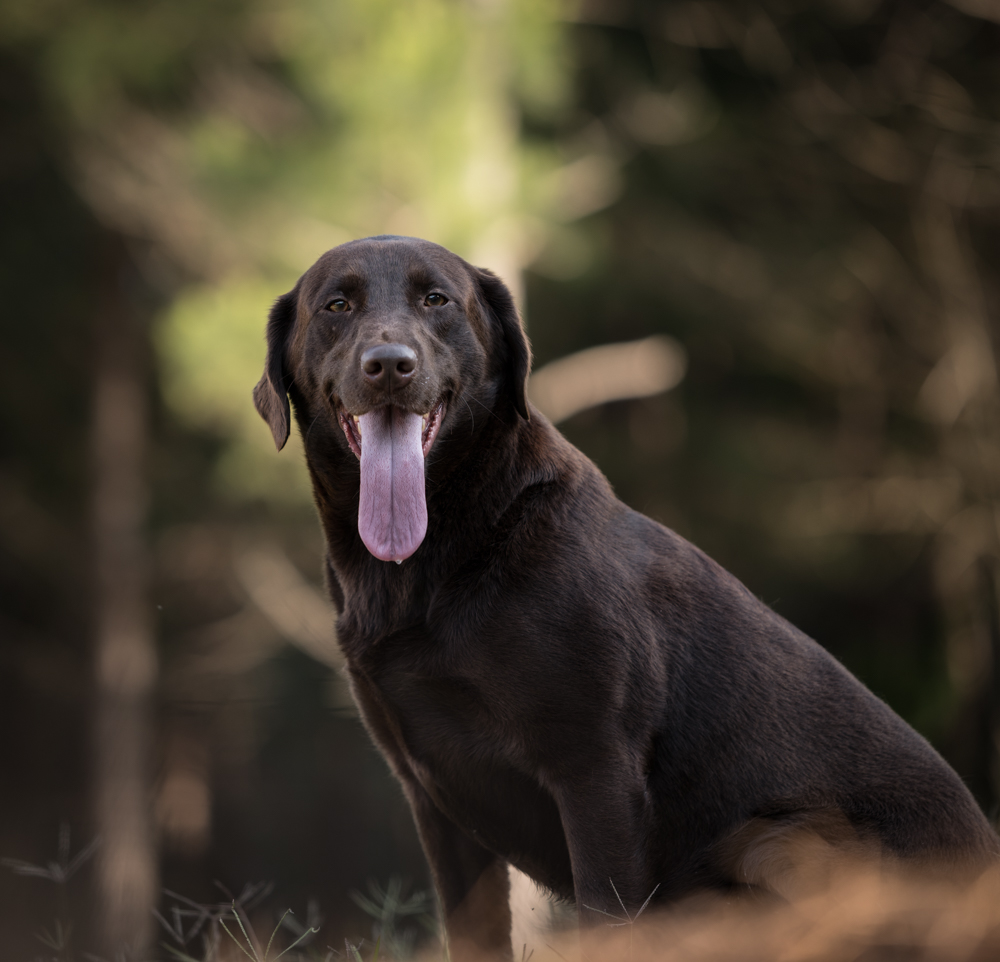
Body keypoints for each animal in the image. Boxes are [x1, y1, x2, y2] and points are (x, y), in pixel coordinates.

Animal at [256, 236, 1000, 956]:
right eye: (336, 306)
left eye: (436, 299)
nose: (390, 364)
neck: (440, 558)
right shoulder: (436, 801)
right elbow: (474, 933)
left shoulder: (596, 774)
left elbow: (605, 920)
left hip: (779, 842)